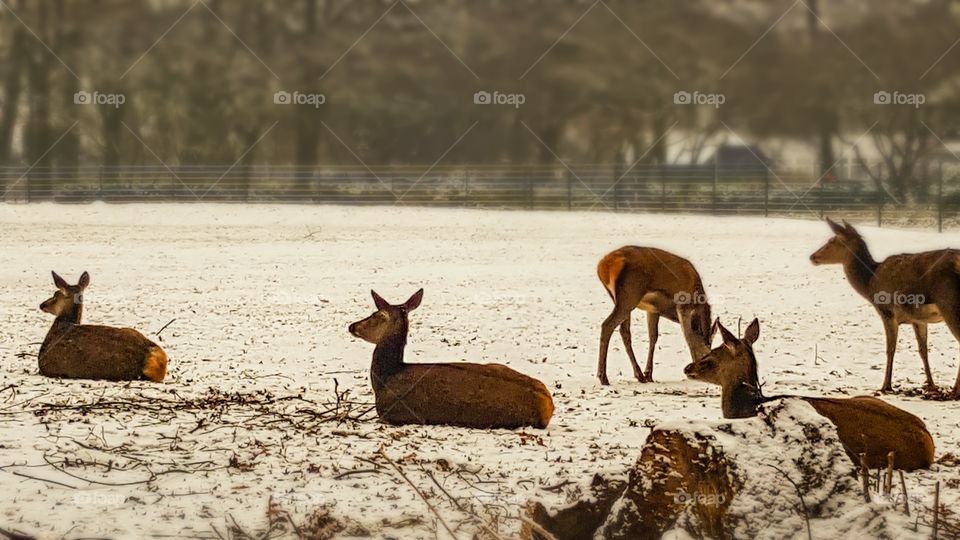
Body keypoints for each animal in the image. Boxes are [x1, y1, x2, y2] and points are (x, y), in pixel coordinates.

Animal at [596, 246, 713, 385]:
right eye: (708, 350)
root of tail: (604, 266)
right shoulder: (683, 306)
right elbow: (688, 337)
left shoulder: (653, 310)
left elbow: (653, 337)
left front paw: (648, 374)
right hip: (629, 295)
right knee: (607, 325)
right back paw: (603, 376)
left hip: (619, 299)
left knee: (624, 331)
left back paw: (639, 375)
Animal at [810, 218, 960, 397]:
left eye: (832, 241)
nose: (812, 257)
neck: (869, 284)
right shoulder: (918, 319)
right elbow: (923, 350)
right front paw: (931, 385)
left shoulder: (886, 311)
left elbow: (891, 348)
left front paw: (885, 386)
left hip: (949, 303)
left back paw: (955, 391)